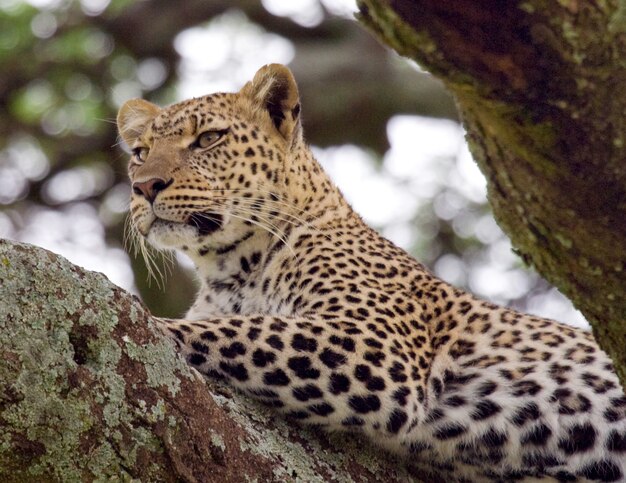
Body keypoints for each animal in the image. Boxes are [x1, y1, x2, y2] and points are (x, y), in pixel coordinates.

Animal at [118, 65, 624, 483]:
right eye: (140, 152)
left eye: (208, 139)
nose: (144, 187)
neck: (227, 270)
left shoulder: (374, 343)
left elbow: (227, 331)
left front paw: (150, 320)